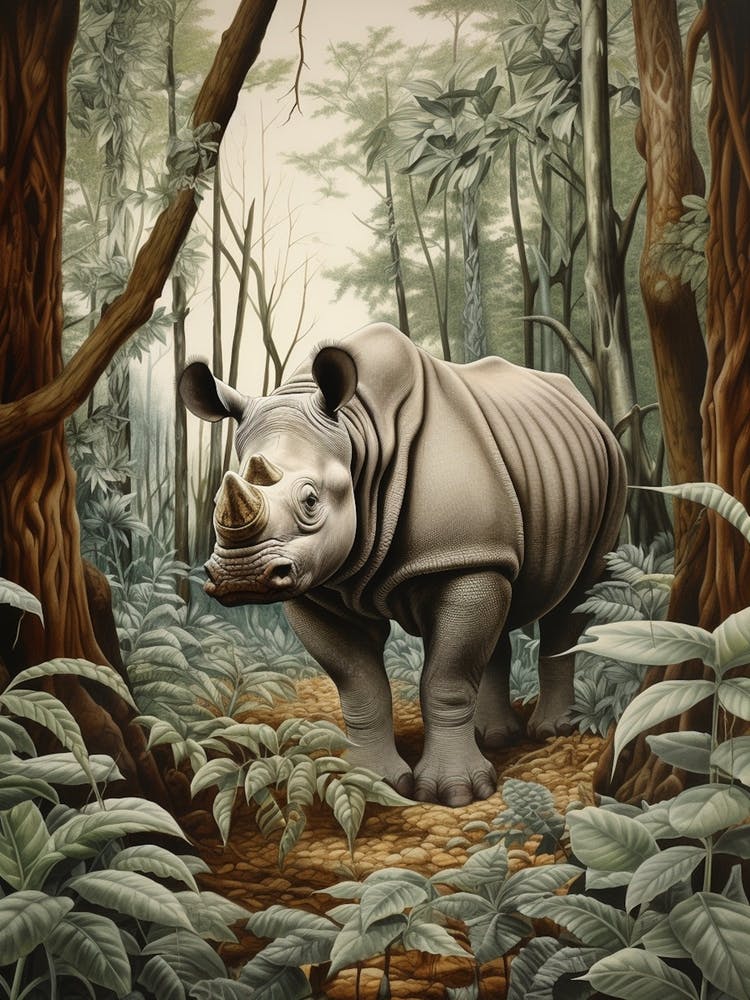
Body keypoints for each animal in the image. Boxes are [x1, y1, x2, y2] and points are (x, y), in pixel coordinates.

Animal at [179, 323, 626, 806]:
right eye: (218, 499)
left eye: (311, 501)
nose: (241, 577)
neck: (358, 436)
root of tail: (585, 408)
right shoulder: (321, 585)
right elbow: (359, 685)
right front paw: (370, 782)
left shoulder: (459, 554)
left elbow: (446, 679)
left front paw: (457, 793)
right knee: (500, 600)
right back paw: (493, 737)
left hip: (610, 468)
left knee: (576, 596)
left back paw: (552, 731)